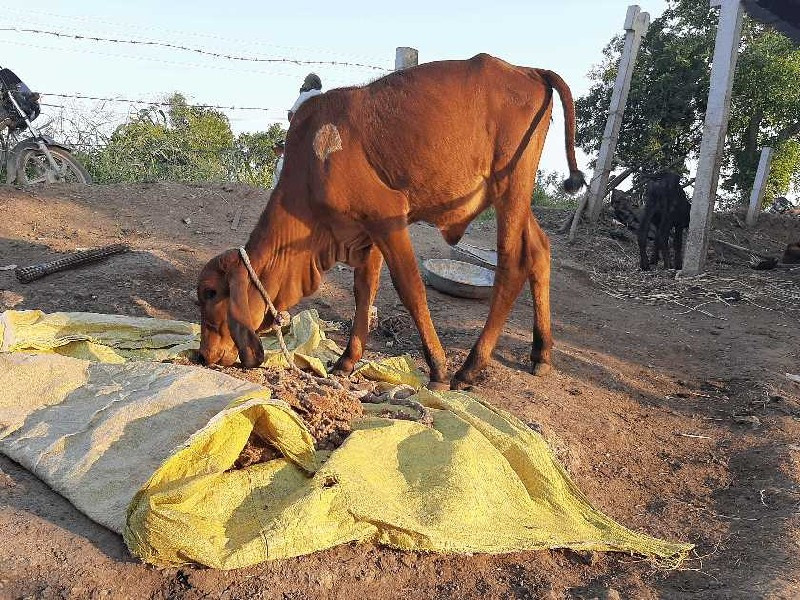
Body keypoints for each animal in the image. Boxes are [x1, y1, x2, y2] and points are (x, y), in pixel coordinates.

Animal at [197, 52, 584, 390]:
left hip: (510, 187)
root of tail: (529, 71)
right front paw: (347, 360)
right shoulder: (364, 233)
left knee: (513, 263)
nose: (203, 356)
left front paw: (437, 367)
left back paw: (471, 367)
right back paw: (541, 353)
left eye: (211, 293)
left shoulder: (387, 217)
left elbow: (410, 289)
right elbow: (363, 291)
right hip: (511, 193)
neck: (312, 165)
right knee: (540, 250)